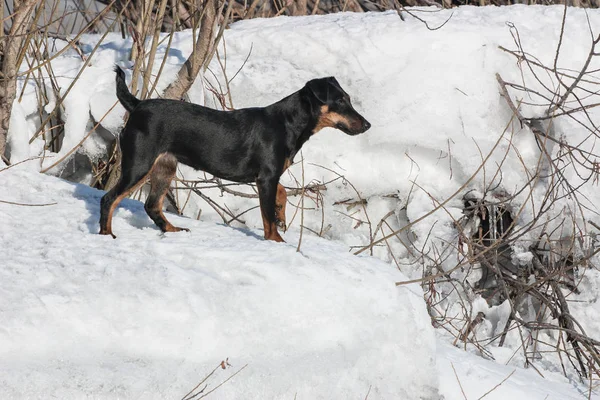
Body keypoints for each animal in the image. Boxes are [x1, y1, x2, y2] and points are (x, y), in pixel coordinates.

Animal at [99, 66, 370, 241]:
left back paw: (173, 231)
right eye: (340, 101)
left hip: (165, 166)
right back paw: (106, 235)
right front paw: (277, 242)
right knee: (109, 199)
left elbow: (281, 194)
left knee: (152, 205)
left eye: (348, 99)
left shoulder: (268, 177)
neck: (287, 123)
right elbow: (267, 219)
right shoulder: (266, 177)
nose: (367, 125)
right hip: (139, 164)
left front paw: (281, 214)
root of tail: (136, 105)